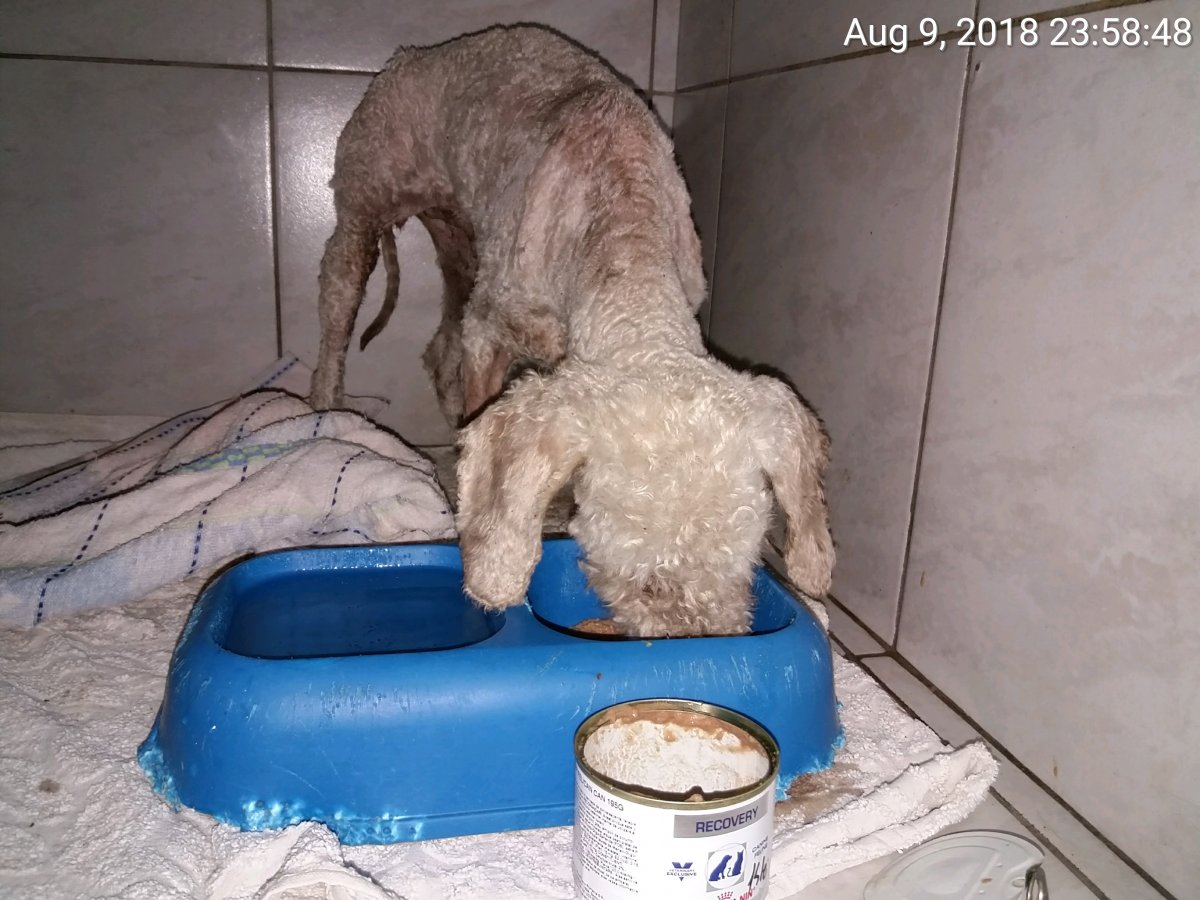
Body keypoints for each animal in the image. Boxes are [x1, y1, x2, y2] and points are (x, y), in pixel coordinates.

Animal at [309, 25, 835, 636]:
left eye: (744, 567)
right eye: (649, 583)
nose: (703, 644)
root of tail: (409, 57)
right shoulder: (491, 329)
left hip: (461, 248)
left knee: (439, 349)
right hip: (365, 205)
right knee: (340, 315)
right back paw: (327, 420)